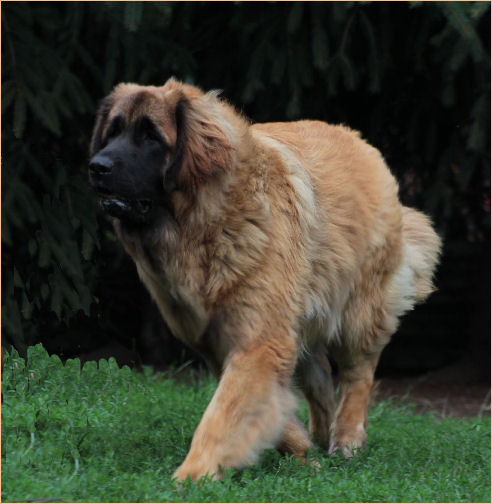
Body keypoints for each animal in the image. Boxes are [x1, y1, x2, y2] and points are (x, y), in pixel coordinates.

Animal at [88, 78, 441, 481]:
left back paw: (347, 439)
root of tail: (359, 141)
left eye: (151, 136)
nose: (96, 166)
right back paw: (321, 436)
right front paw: (299, 449)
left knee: (358, 375)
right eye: (112, 132)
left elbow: (222, 416)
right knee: (320, 378)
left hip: (359, 311)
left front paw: (193, 474)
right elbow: (261, 407)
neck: (205, 225)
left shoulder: (259, 339)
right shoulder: (222, 342)